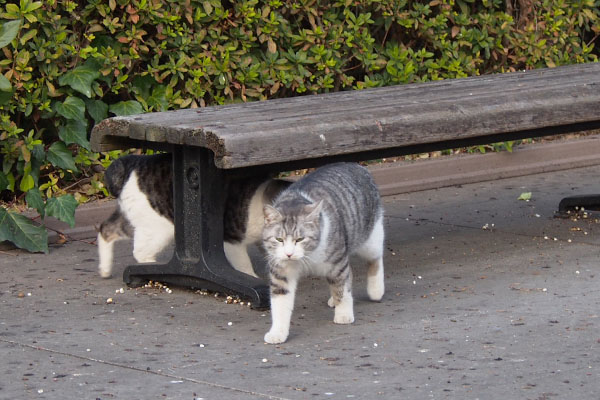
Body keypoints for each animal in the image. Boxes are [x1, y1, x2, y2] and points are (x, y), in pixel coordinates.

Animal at [97, 153, 290, 278]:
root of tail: (132, 162)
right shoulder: (230, 240)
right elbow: (243, 265)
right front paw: (252, 278)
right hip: (160, 228)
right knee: (139, 251)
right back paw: (150, 267)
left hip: (134, 219)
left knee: (106, 230)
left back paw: (105, 270)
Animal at [262, 162, 384, 344]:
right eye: (279, 239)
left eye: (300, 239)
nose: (289, 254)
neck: (306, 257)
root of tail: (358, 166)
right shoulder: (280, 271)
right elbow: (280, 303)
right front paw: (278, 332)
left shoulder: (337, 262)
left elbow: (341, 288)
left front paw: (343, 313)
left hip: (369, 238)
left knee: (375, 258)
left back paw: (376, 290)